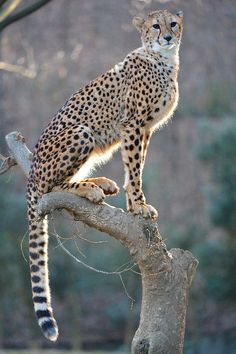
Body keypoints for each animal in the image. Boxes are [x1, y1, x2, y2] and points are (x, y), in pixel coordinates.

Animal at [26, 9, 183, 340]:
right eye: (155, 26)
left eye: (173, 24)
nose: (167, 36)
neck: (164, 59)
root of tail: (30, 172)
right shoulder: (133, 123)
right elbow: (134, 168)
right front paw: (138, 206)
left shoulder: (146, 129)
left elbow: (137, 165)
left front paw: (135, 203)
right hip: (82, 132)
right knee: (51, 187)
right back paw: (90, 188)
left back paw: (98, 183)